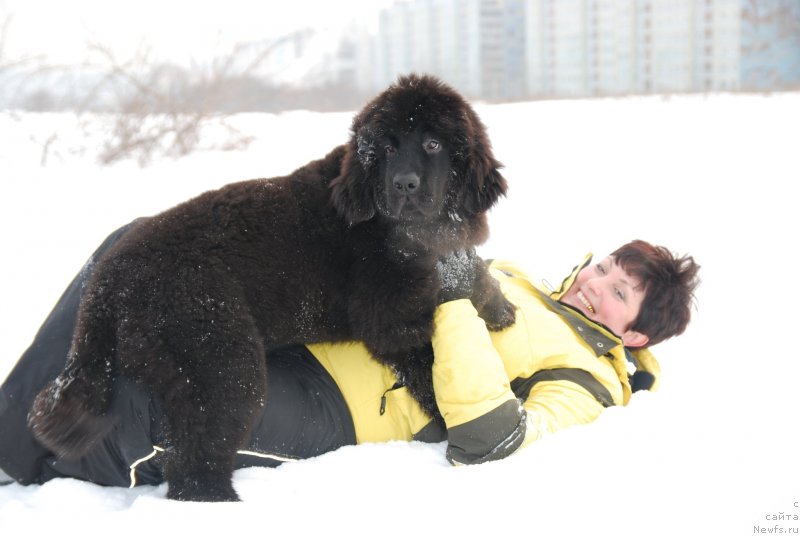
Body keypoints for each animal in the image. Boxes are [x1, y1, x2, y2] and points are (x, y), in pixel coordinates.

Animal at [28, 74, 516, 502]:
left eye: (433, 144)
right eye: (386, 149)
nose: (404, 184)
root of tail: (106, 284)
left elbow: (471, 275)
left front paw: (500, 308)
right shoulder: (393, 321)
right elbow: (430, 367)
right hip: (221, 362)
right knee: (193, 465)